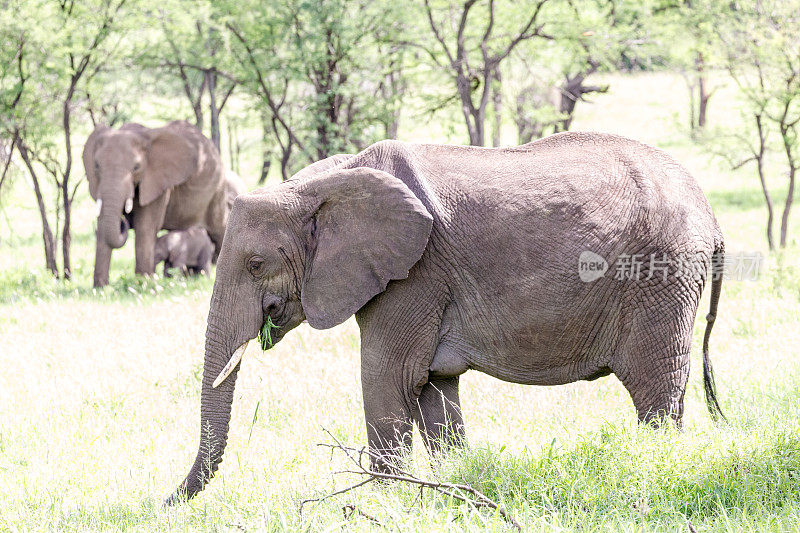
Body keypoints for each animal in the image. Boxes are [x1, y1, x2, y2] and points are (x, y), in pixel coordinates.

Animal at [83, 120, 247, 286]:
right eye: (96, 166)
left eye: (136, 167)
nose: (123, 221)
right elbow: (103, 226)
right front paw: (101, 287)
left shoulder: (157, 182)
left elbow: (145, 227)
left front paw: (142, 283)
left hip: (216, 190)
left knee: (218, 228)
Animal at [167, 132, 724, 502]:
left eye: (256, 265)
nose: (164, 504)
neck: (321, 183)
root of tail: (710, 211)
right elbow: (434, 388)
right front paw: (447, 487)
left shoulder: (413, 275)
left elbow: (388, 377)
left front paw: (383, 503)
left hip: (661, 277)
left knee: (655, 389)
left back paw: (656, 466)